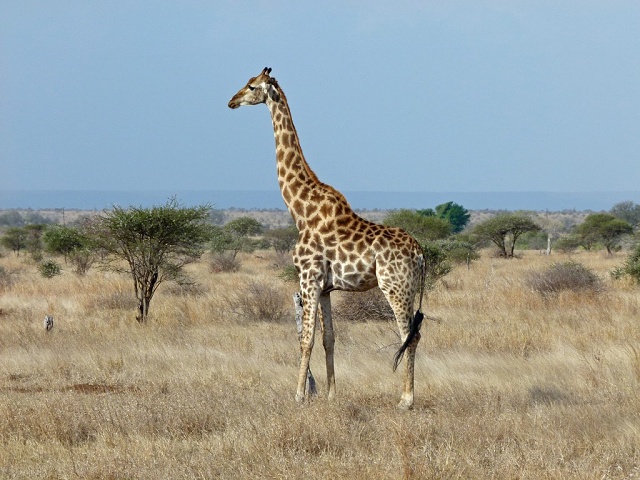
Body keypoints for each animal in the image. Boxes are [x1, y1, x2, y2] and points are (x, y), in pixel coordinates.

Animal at [228, 67, 426, 409]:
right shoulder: (326, 287)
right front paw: (333, 395)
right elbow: (328, 338)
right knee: (415, 334)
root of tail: (421, 254)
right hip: (409, 289)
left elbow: (305, 339)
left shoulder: (308, 277)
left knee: (408, 336)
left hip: (395, 287)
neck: (299, 209)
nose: (231, 101)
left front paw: (298, 396)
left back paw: (406, 400)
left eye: (251, 86)